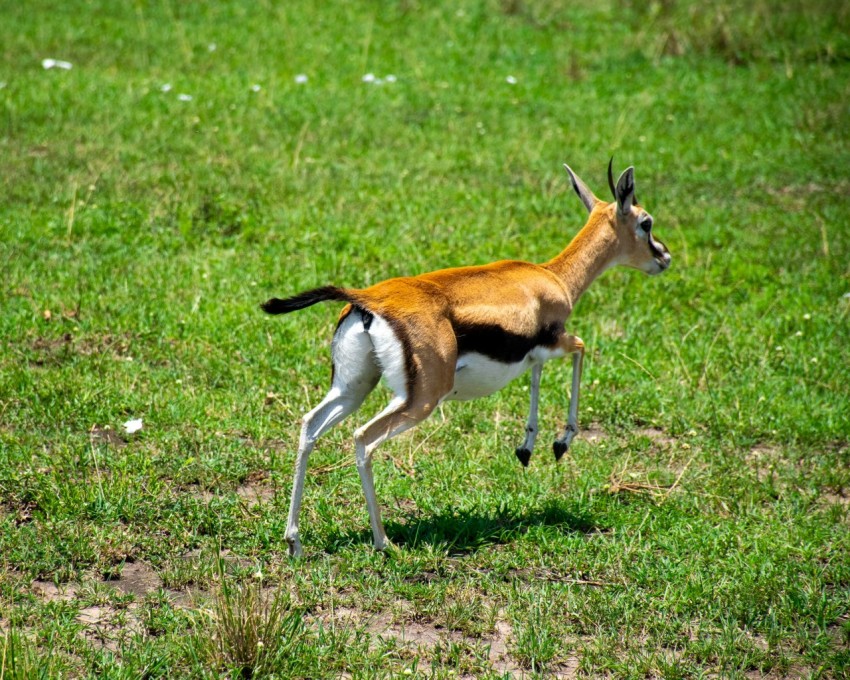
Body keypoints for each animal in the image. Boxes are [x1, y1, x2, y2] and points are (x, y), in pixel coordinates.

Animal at [262, 161, 671, 557]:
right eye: (646, 222)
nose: (664, 257)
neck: (553, 278)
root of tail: (368, 300)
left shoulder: (534, 353)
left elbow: (537, 376)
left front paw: (527, 448)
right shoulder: (558, 340)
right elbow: (580, 349)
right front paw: (560, 444)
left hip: (354, 388)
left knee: (310, 426)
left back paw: (294, 541)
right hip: (420, 399)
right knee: (363, 438)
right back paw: (383, 542)